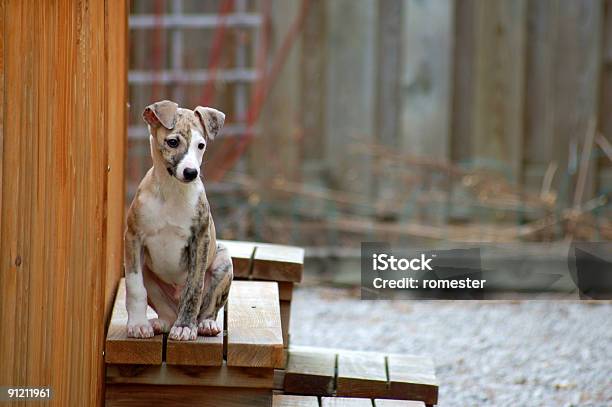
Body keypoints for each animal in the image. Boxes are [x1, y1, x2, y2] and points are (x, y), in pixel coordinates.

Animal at [123, 101, 232, 342]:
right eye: (172, 142)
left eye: (201, 145)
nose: (191, 172)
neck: (172, 191)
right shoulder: (133, 238)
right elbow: (134, 287)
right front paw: (137, 325)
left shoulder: (200, 240)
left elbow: (194, 288)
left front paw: (185, 327)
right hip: (148, 272)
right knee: (165, 310)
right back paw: (159, 323)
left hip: (223, 262)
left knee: (208, 305)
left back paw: (204, 324)